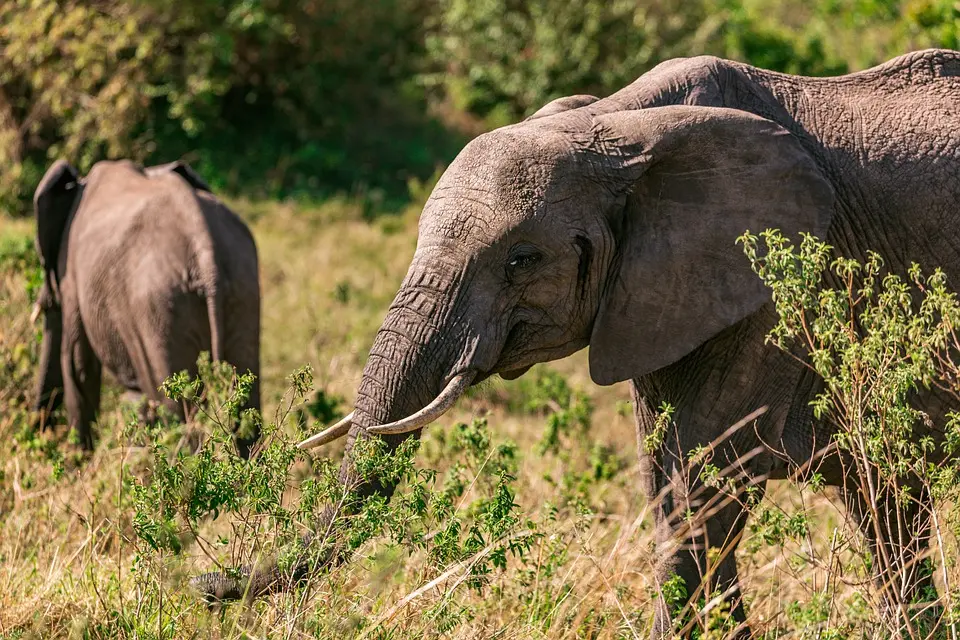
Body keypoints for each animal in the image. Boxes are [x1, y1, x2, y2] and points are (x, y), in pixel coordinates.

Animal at [32, 160, 262, 460]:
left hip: (158, 306)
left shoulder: (71, 274)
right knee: (245, 407)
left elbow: (78, 366)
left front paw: (78, 464)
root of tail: (204, 248)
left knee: (174, 408)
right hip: (241, 286)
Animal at [193, 50, 960, 636]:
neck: (619, 124)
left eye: (521, 259)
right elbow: (669, 480)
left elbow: (705, 485)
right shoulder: (663, 299)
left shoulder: (769, 291)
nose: (205, 585)